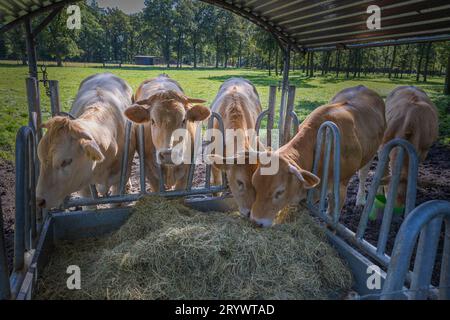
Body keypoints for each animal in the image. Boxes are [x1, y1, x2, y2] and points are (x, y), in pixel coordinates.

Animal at [250, 86, 386, 228]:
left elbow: (332, 218)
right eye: (254, 185)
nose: (255, 222)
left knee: (363, 173)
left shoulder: (341, 188)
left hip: (374, 150)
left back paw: (360, 199)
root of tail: (364, 87)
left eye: (280, 192)